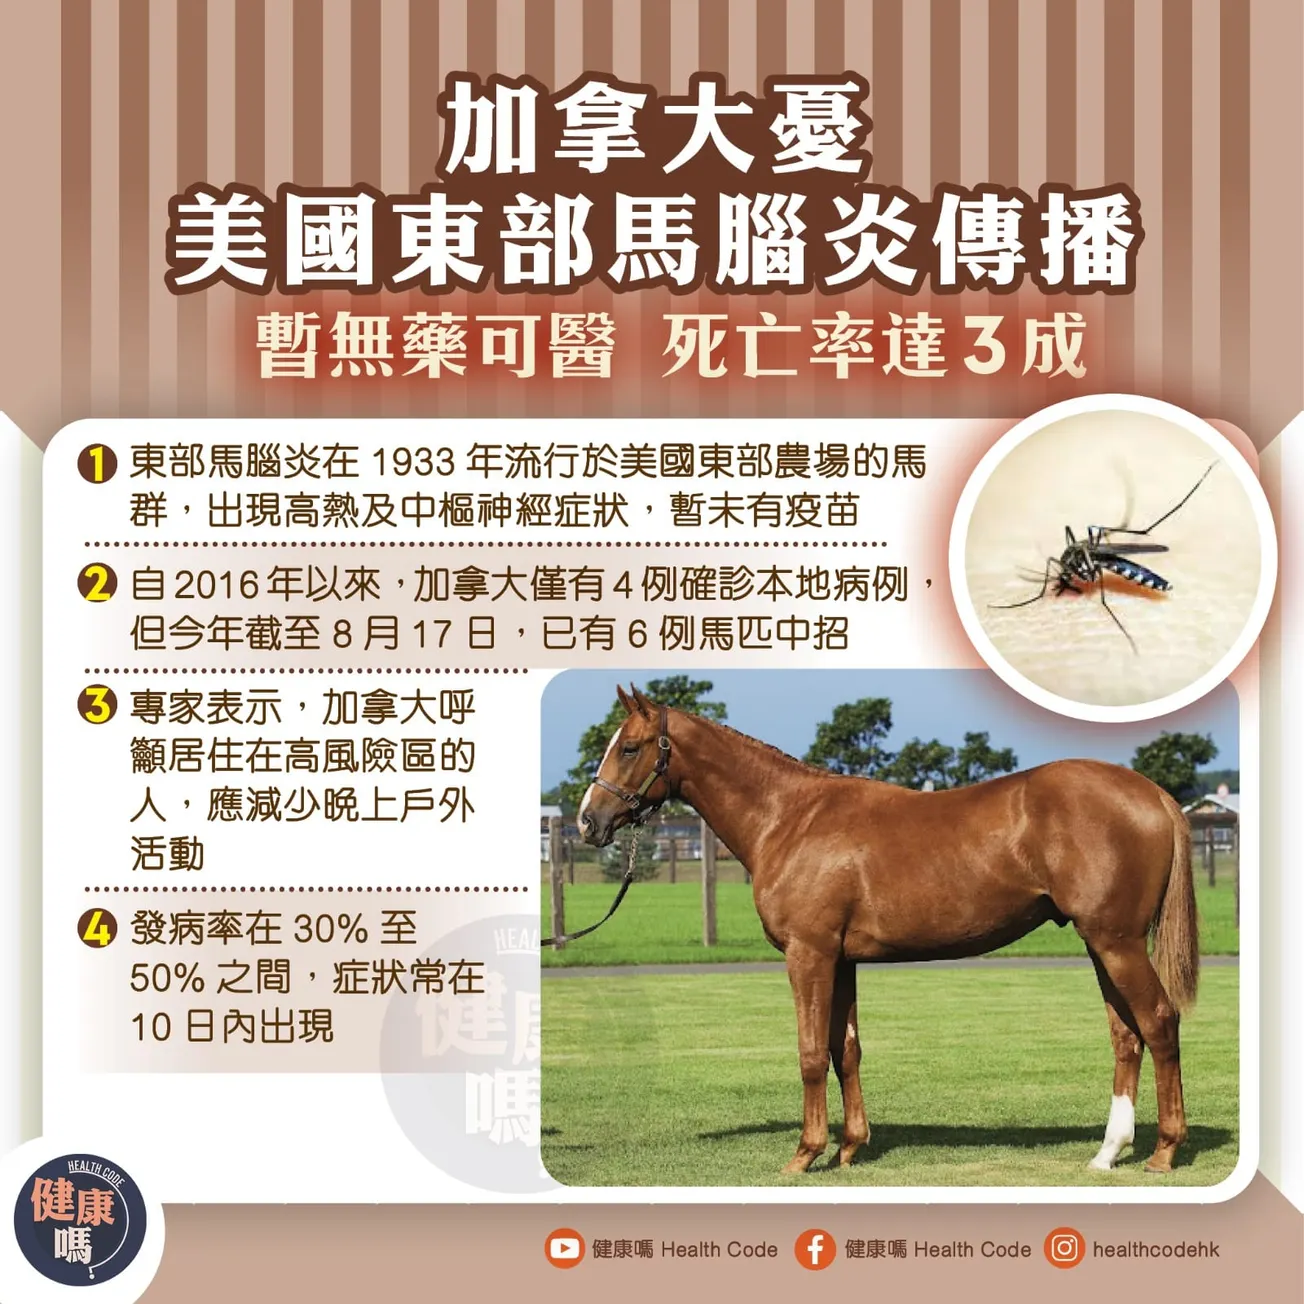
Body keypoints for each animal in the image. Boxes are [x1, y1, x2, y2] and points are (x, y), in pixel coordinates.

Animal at [577, 685, 1199, 1176]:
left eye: (629, 747)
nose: (588, 821)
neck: (790, 817)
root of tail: (1152, 794)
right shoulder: (841, 960)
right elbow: (845, 1049)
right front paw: (850, 1149)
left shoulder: (808, 955)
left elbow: (810, 1052)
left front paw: (804, 1154)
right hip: (1101, 943)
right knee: (1126, 1037)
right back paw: (1108, 1152)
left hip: (1116, 943)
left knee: (1159, 1023)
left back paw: (1164, 1151)